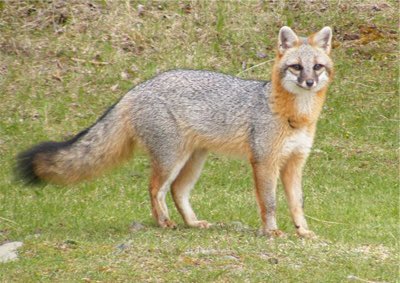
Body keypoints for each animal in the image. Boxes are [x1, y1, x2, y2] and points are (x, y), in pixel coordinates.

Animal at [15, 26, 334, 239]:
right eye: (296, 67)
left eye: (317, 67)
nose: (308, 82)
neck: (296, 117)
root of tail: (137, 88)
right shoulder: (264, 161)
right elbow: (269, 203)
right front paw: (271, 232)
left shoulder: (294, 163)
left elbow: (297, 203)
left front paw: (303, 231)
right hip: (172, 158)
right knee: (155, 188)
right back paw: (164, 223)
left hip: (194, 160)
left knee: (178, 191)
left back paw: (191, 223)